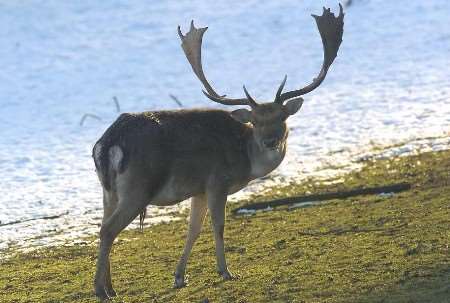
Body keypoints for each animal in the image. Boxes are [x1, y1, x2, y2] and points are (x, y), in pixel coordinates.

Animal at [92, 4, 344, 302]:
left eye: (282, 117)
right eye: (255, 121)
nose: (270, 141)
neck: (245, 158)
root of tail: (108, 142)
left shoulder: (198, 189)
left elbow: (193, 229)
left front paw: (179, 276)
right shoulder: (216, 181)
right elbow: (218, 225)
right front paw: (226, 271)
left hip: (108, 190)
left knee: (102, 226)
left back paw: (110, 287)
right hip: (138, 187)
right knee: (108, 229)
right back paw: (101, 290)